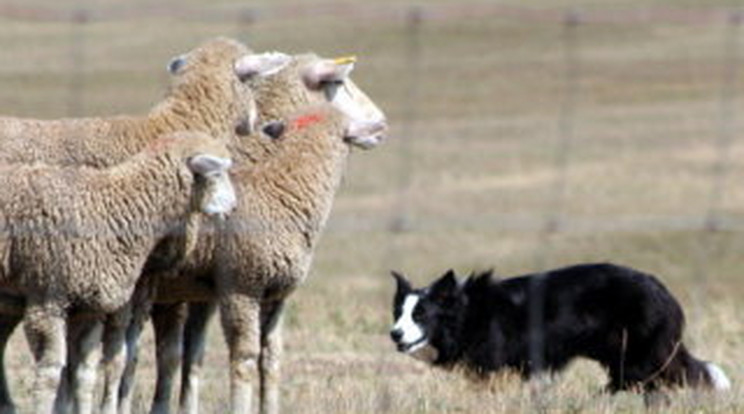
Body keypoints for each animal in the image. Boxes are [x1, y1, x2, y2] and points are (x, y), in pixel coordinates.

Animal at [0, 130, 237, 414]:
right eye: (217, 174)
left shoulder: (90, 307)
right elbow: (50, 373)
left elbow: (84, 375)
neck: (114, 207)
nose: (233, 208)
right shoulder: (47, 300)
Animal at [122, 52, 386, 414]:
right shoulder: (228, 287)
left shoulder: (208, 293)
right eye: (339, 82)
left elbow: (201, 358)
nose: (381, 123)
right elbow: (192, 358)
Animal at [392, 264, 728, 392]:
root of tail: (662, 291)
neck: (468, 314)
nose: (394, 334)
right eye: (399, 313)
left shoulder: (496, 367)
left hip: (640, 353)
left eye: (420, 315)